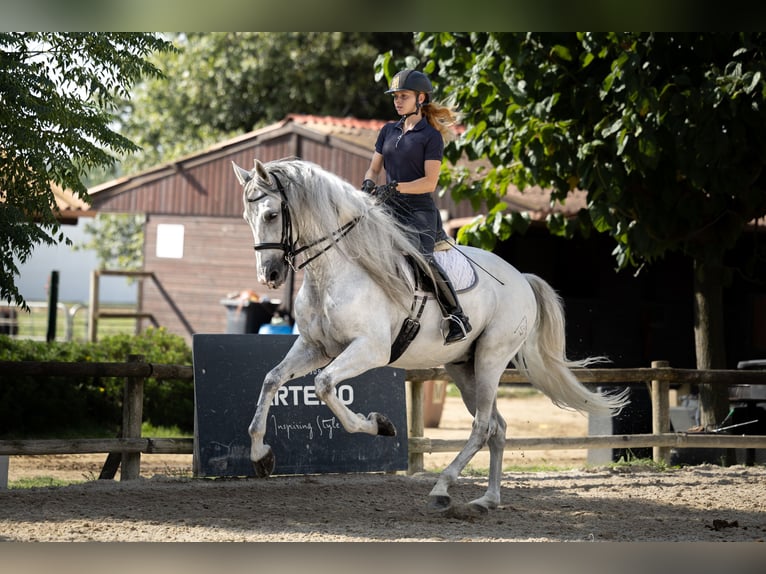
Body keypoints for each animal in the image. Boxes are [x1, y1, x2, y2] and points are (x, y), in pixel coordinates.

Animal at [234, 158, 632, 516]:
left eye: (271, 215)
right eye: (247, 218)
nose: (270, 276)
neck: (335, 271)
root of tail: (521, 277)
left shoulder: (369, 350)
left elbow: (325, 385)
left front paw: (379, 424)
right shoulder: (316, 347)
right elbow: (272, 380)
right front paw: (261, 456)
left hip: (491, 359)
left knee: (482, 426)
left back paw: (442, 489)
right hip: (463, 367)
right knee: (498, 428)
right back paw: (487, 500)